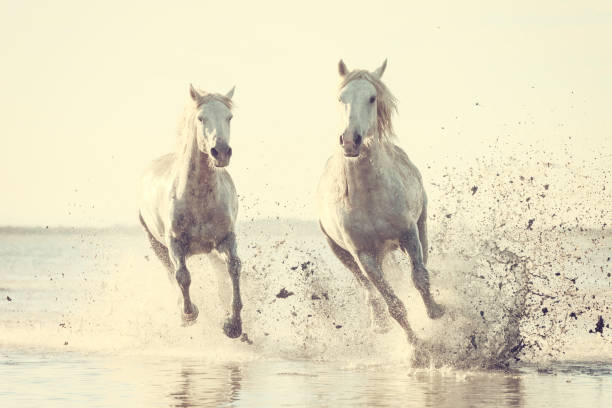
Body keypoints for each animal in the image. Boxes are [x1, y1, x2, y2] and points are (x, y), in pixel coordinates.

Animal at [139, 83, 244, 338]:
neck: (198, 199)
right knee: (171, 272)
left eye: (229, 117)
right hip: (156, 244)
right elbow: (182, 276)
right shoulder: (175, 242)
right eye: (200, 118)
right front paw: (189, 314)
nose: (221, 152)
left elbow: (234, 268)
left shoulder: (226, 238)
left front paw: (233, 324)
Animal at [318, 58, 442, 344]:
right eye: (341, 98)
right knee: (368, 290)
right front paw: (415, 344)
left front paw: (435, 312)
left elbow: (420, 278)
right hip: (342, 253)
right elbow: (393, 304)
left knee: (424, 261)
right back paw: (379, 323)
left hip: (421, 223)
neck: (369, 197)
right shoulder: (364, 256)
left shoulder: (408, 233)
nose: (350, 140)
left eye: (372, 97)